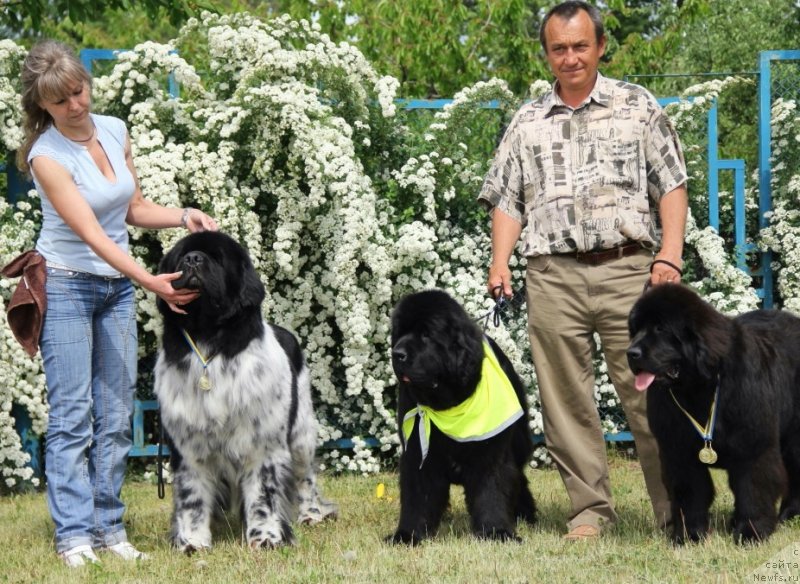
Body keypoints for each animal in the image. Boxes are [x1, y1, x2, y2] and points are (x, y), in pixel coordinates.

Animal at [155, 229, 336, 552]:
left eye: (218, 257)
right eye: (181, 256)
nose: (193, 259)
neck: (209, 339)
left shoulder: (264, 443)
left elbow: (264, 494)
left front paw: (266, 537)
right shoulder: (188, 445)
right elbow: (192, 495)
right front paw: (192, 541)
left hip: (301, 433)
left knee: (305, 477)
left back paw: (311, 514)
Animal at [390, 290, 536, 544]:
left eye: (426, 334)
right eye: (398, 332)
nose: (397, 354)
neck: (446, 405)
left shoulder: (491, 452)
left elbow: (492, 491)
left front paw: (497, 532)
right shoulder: (417, 450)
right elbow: (417, 496)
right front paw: (408, 535)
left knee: (519, 478)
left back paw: (526, 514)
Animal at [628, 282, 800, 544]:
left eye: (660, 328)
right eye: (635, 330)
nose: (631, 353)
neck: (699, 389)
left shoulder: (753, 445)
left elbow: (753, 489)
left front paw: (751, 532)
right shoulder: (678, 452)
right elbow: (690, 493)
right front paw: (689, 535)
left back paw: (790, 513)